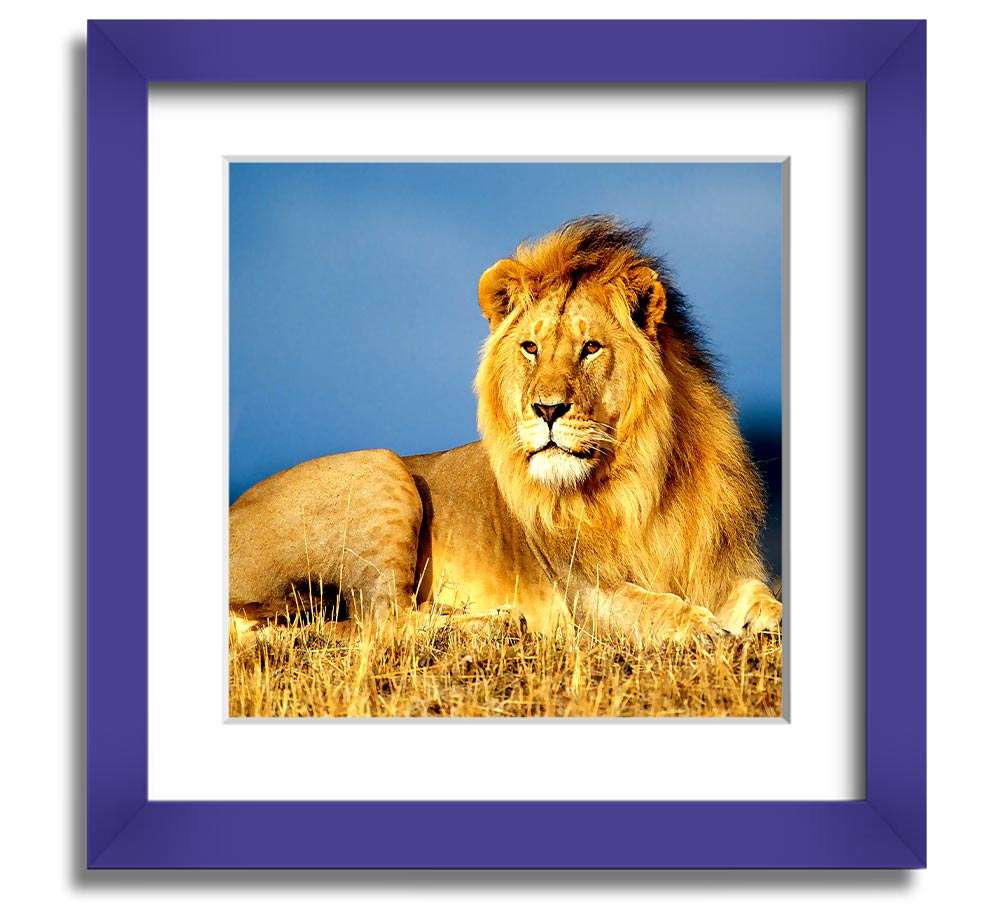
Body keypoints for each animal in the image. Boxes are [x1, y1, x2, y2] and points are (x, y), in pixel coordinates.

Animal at [229, 216, 781, 644]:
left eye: (591, 347)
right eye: (531, 348)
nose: (547, 409)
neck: (644, 480)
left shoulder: (724, 568)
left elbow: (764, 598)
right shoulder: (586, 593)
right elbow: (654, 607)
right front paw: (703, 628)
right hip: (379, 467)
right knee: (381, 622)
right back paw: (498, 622)